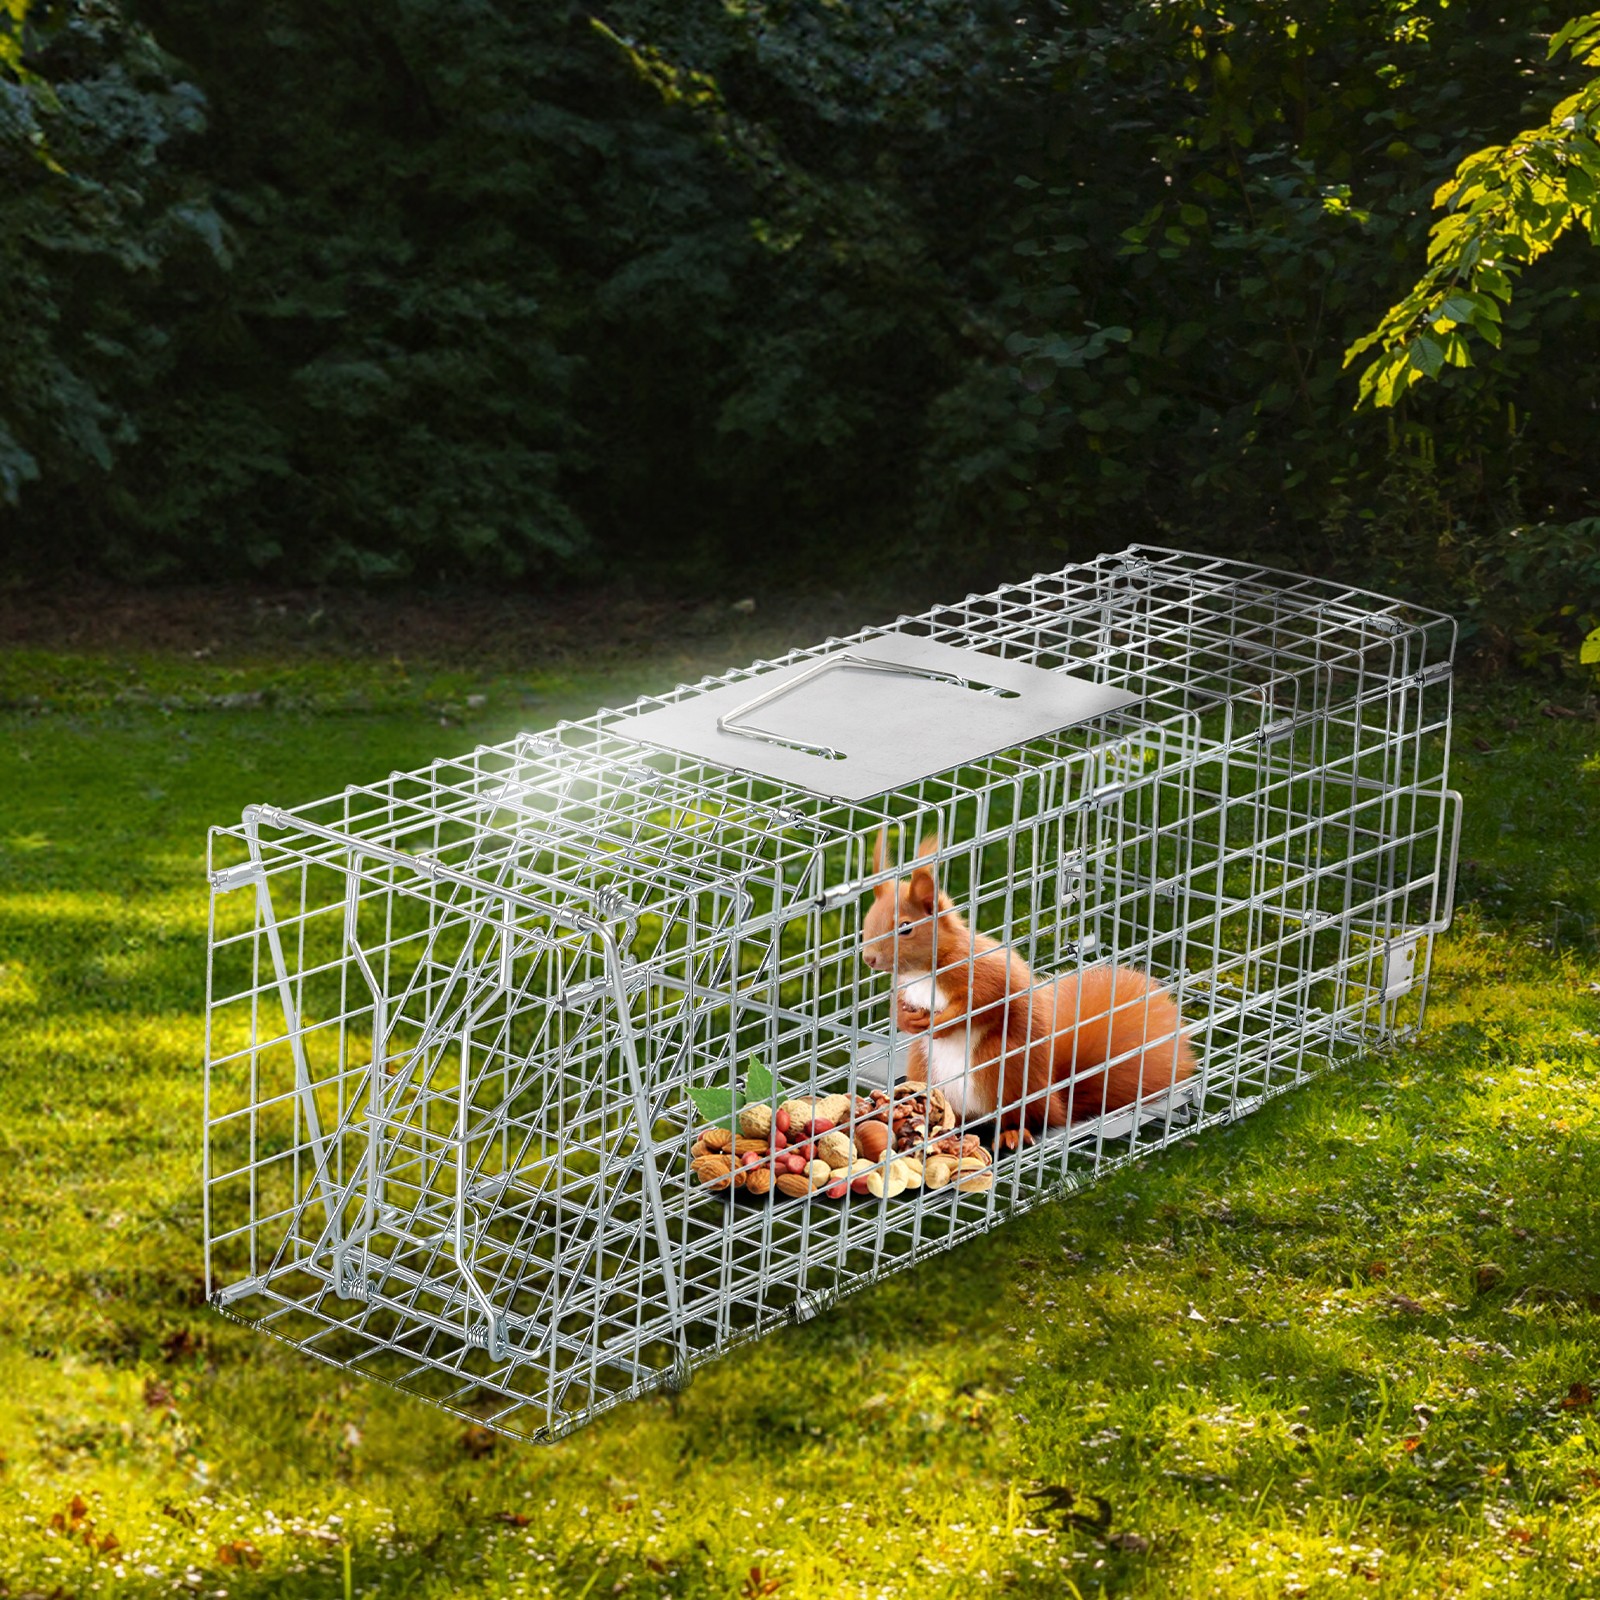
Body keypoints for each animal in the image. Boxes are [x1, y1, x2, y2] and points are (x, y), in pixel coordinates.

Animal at [860, 831, 1196, 1149]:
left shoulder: (983, 975)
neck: (922, 972)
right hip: (925, 1068)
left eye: (906, 927)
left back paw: (1012, 1133)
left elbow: (979, 1005)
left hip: (1003, 1068)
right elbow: (898, 1009)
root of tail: (1057, 1104)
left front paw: (940, 1022)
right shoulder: (904, 988)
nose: (868, 958)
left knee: (1024, 1119)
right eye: (867, 920)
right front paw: (907, 1020)